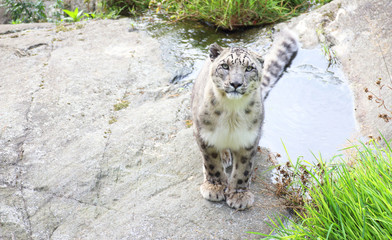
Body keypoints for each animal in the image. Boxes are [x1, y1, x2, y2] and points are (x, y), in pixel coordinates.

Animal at [191, 30, 298, 210]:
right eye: (225, 66)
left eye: (249, 68)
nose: (236, 83)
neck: (232, 113)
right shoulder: (204, 134)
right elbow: (212, 163)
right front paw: (215, 187)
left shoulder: (248, 139)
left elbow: (243, 169)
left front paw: (238, 196)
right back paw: (225, 157)